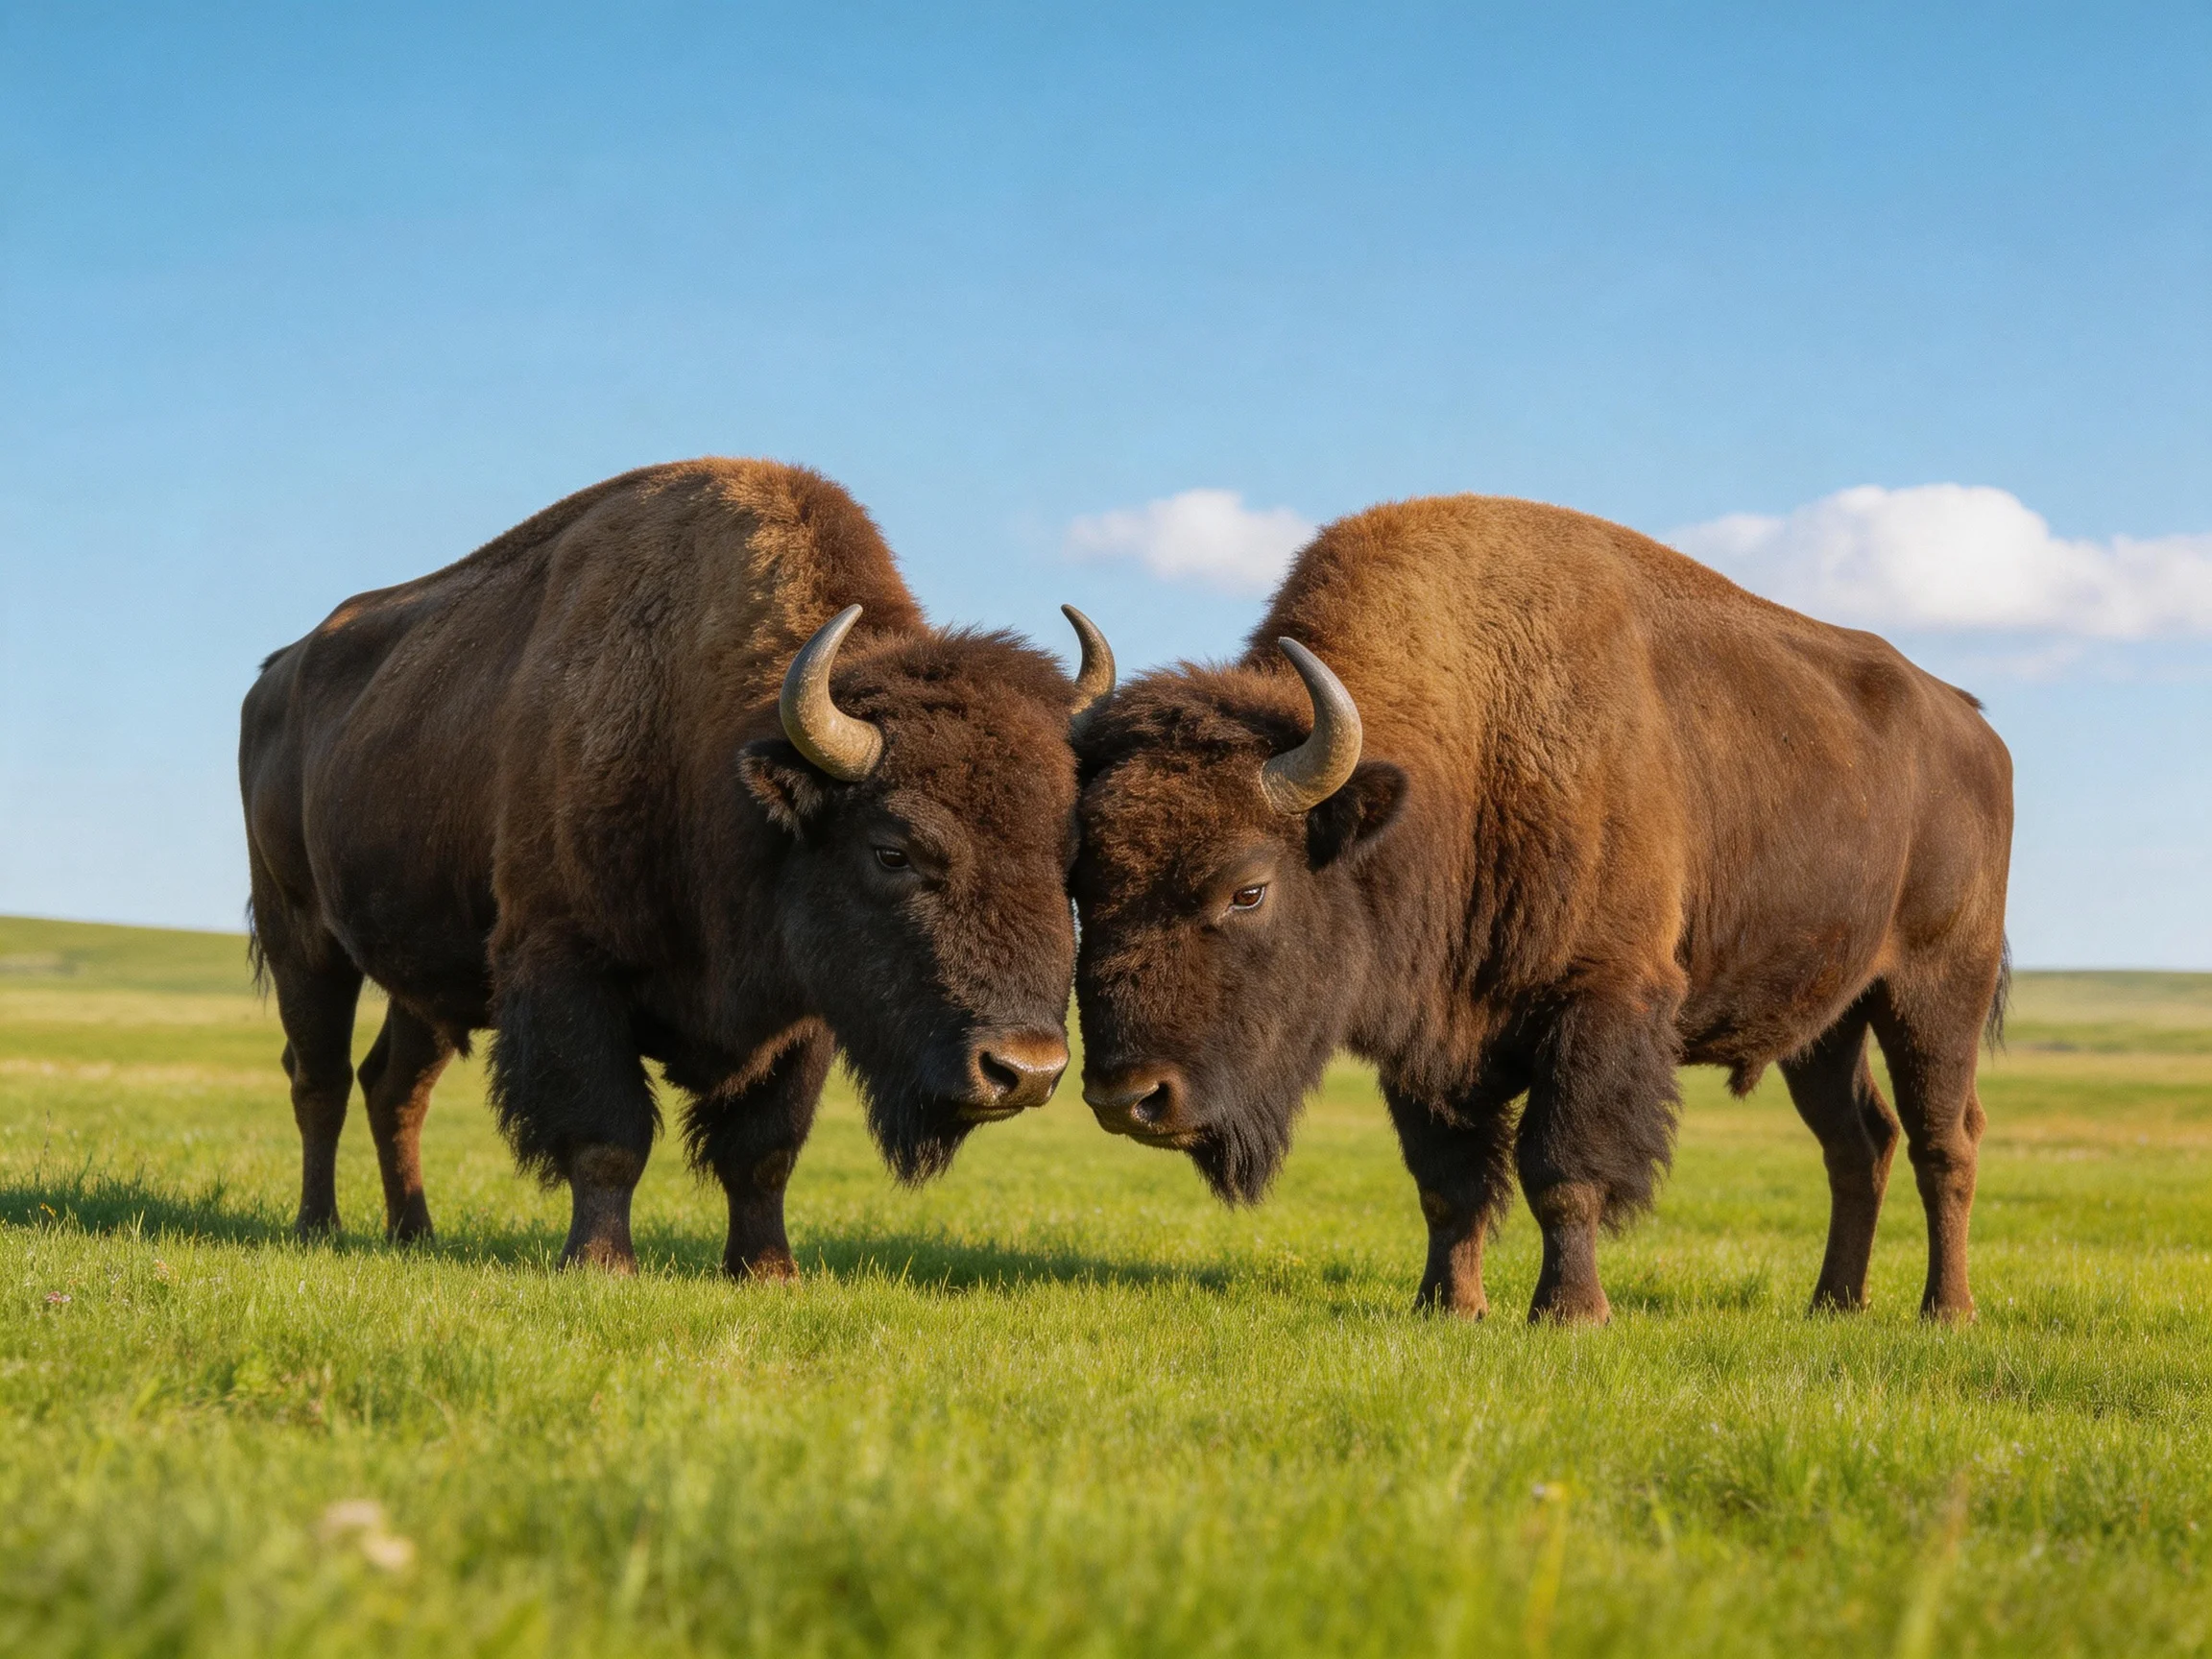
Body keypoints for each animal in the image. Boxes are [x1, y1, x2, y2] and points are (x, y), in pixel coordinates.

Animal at [241, 458, 1111, 1275]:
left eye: (1069, 858)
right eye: (892, 850)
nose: (1025, 1070)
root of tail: (275, 673)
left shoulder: (803, 1016)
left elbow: (763, 1153)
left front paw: (768, 1271)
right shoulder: (567, 969)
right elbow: (609, 1136)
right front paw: (600, 1264)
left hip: (423, 981)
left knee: (394, 1088)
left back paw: (413, 1233)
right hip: (302, 940)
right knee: (318, 1079)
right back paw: (318, 1227)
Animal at [1073, 495, 2011, 1323]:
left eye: (1249, 889)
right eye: (1081, 885)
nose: (1129, 1099)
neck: (1459, 754)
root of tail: (1975, 727)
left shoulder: (1598, 1006)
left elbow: (1562, 1171)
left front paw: (1570, 1313)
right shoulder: (1429, 1040)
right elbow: (1448, 1184)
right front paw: (1448, 1307)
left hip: (1934, 992)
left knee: (1944, 1141)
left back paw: (1946, 1311)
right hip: (1826, 1023)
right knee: (1858, 1143)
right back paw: (1834, 1303)